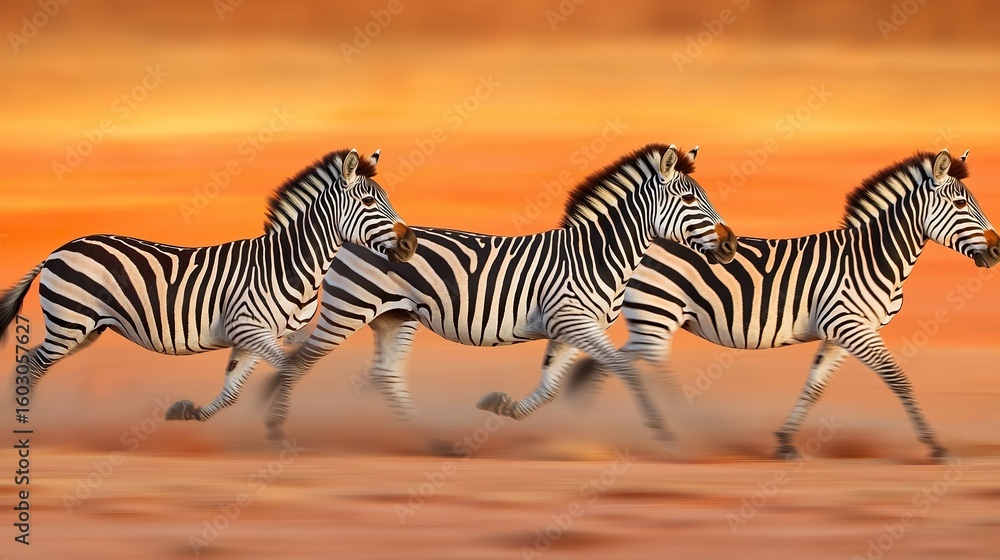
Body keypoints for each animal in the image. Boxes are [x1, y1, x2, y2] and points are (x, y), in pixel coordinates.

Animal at [0, 148, 418, 423]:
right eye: (369, 202)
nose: (410, 244)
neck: (290, 263)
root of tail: (59, 248)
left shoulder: (258, 337)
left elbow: (234, 390)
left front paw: (188, 413)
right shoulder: (248, 327)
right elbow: (288, 370)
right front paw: (278, 431)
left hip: (85, 330)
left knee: (27, 361)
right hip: (71, 322)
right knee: (33, 365)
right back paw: (26, 427)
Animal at [264, 144, 738, 443]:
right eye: (690, 200)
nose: (732, 244)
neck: (596, 255)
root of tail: (346, 241)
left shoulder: (567, 329)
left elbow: (550, 387)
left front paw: (501, 406)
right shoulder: (573, 321)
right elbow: (625, 367)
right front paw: (664, 431)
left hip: (394, 316)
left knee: (386, 375)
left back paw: (431, 441)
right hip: (349, 311)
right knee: (300, 360)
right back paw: (272, 426)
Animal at [566, 149, 1000, 460]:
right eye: (961, 207)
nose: (998, 251)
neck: (872, 258)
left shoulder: (842, 331)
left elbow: (815, 385)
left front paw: (785, 442)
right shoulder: (851, 326)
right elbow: (898, 378)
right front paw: (935, 445)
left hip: (651, 318)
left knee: (613, 360)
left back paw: (584, 426)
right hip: (658, 312)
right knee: (629, 361)